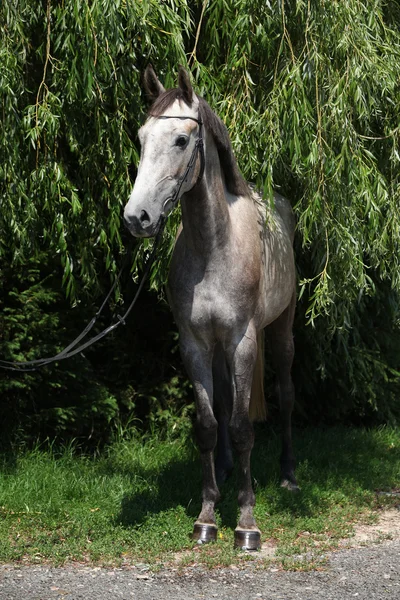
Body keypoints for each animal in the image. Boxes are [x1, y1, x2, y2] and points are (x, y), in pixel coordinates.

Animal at [123, 64, 298, 548]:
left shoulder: (242, 340)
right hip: (219, 349)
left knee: (285, 394)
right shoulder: (195, 344)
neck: (214, 247)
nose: (136, 218)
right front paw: (207, 516)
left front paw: (246, 523)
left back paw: (289, 477)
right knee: (222, 403)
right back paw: (223, 470)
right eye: (141, 138)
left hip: (281, 330)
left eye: (182, 140)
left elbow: (241, 428)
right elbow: (208, 423)